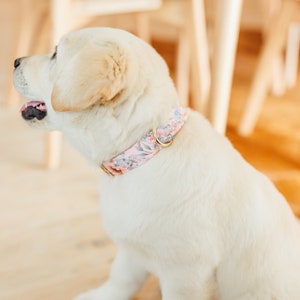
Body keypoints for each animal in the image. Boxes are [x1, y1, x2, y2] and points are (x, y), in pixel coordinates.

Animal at [14, 27, 300, 298]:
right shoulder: (131, 247)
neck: (143, 151)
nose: (15, 60)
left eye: (55, 54)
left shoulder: (187, 274)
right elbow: (120, 279)